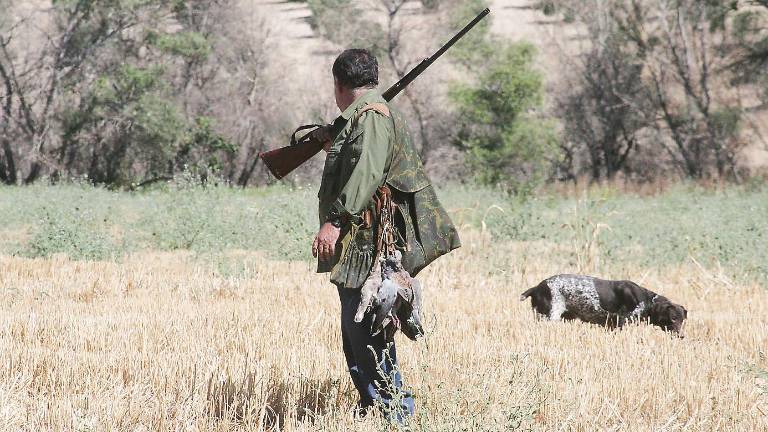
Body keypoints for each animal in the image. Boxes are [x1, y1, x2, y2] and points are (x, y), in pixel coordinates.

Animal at [520, 274, 688, 334]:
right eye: (673, 318)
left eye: (682, 320)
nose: (681, 336)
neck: (645, 300)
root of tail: (537, 288)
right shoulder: (621, 322)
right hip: (549, 316)